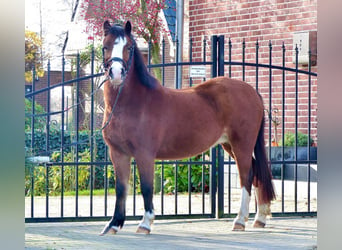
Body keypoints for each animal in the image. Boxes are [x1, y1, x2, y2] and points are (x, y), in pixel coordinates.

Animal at [99, 20, 276, 235]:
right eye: (105, 46)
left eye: (129, 47)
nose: (116, 74)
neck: (131, 104)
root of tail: (252, 91)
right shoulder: (118, 153)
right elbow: (121, 189)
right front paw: (113, 225)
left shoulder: (144, 153)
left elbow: (147, 187)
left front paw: (145, 223)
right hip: (229, 145)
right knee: (256, 173)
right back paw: (260, 218)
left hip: (242, 144)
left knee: (247, 176)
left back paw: (240, 221)